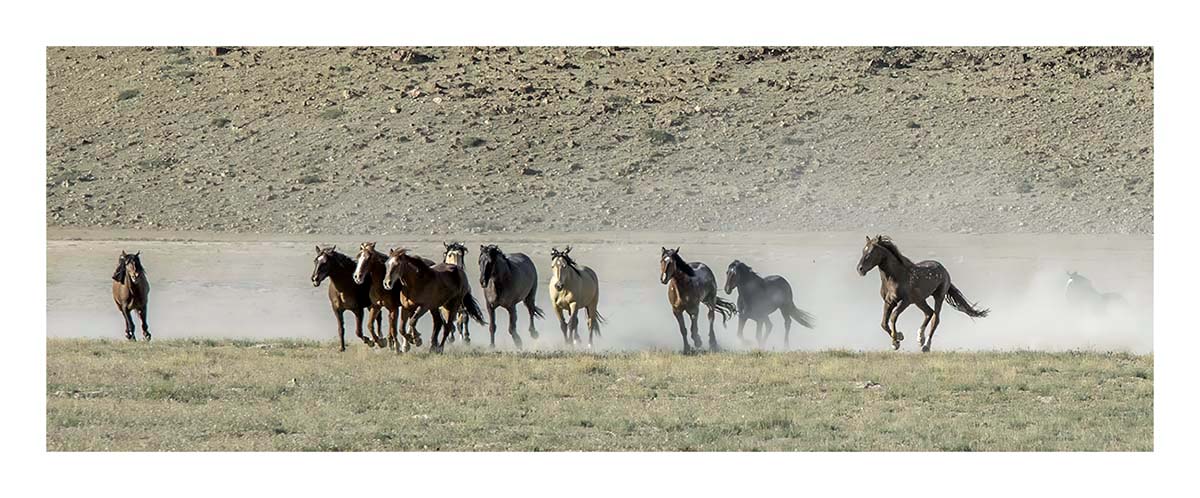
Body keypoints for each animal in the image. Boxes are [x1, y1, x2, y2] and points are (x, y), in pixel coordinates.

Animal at [856, 235, 989, 352]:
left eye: (872, 252)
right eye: (863, 250)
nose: (860, 269)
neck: (895, 277)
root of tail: (943, 269)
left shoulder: (906, 301)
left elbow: (893, 317)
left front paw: (895, 342)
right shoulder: (889, 301)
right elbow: (884, 323)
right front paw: (899, 337)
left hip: (937, 297)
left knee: (935, 318)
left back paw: (926, 346)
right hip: (919, 300)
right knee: (929, 312)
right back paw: (920, 338)